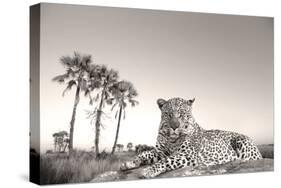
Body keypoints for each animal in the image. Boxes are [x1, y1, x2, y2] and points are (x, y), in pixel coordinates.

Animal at [120, 97, 262, 178]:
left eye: (182, 114)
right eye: (168, 114)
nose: (175, 126)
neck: (172, 139)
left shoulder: (188, 155)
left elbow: (166, 161)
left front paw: (149, 170)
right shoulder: (161, 151)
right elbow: (144, 153)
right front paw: (129, 163)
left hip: (242, 142)